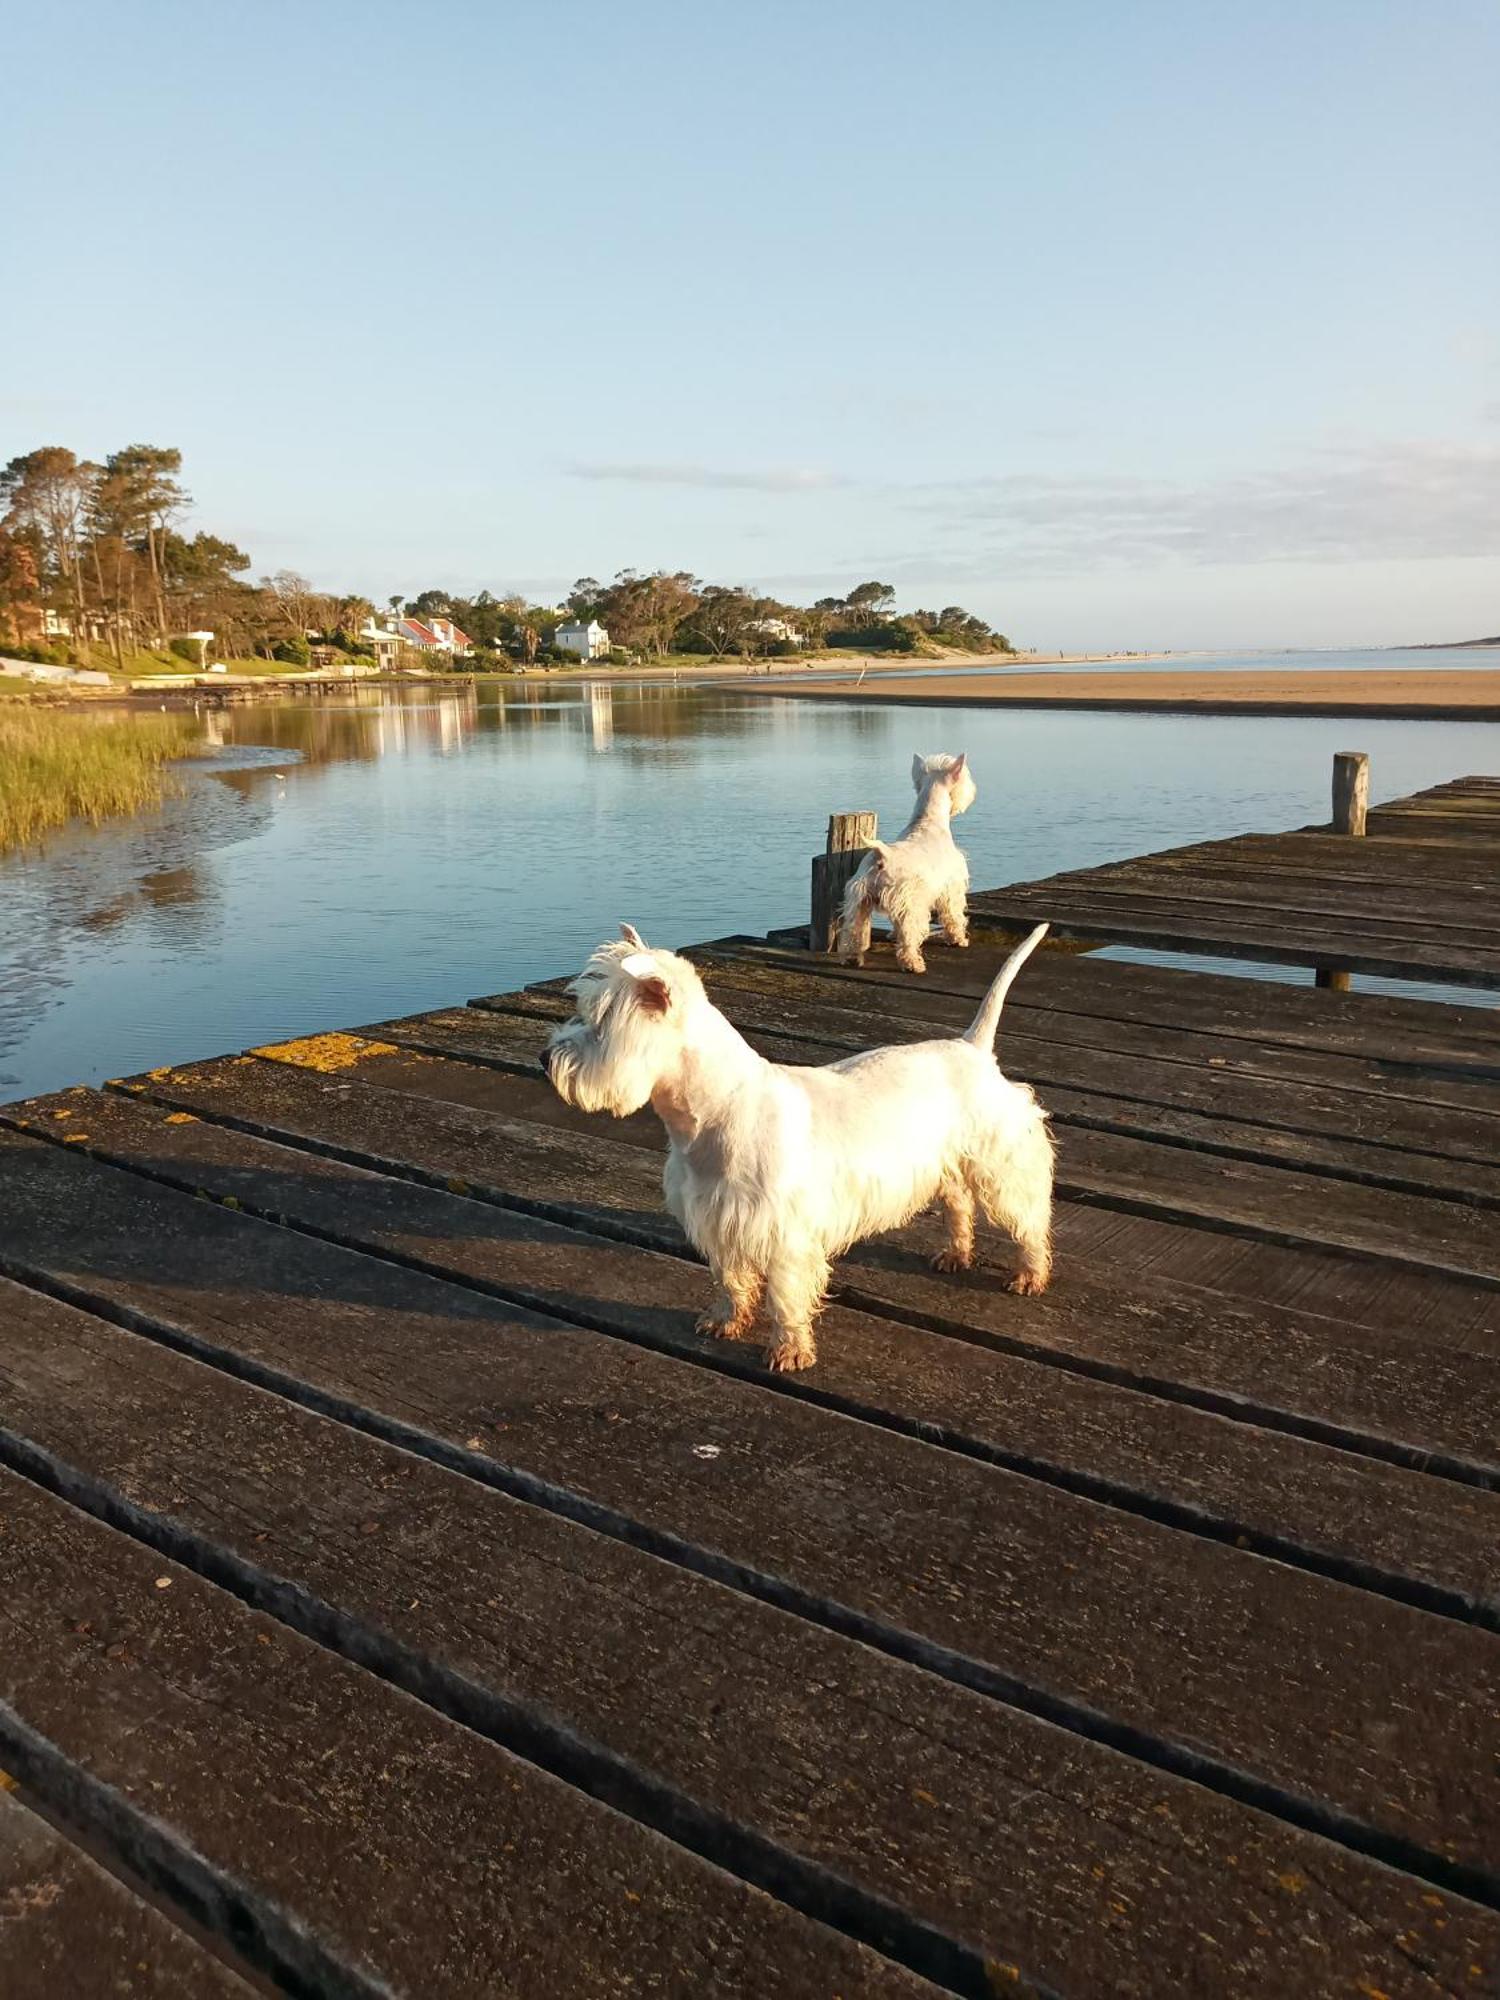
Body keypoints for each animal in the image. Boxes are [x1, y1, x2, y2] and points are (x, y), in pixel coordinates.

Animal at [544, 920, 1056, 1376]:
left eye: (600, 1024)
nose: (546, 1058)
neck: (712, 1111)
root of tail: (972, 1048)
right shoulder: (720, 1220)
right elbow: (731, 1278)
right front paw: (725, 1319)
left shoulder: (784, 1233)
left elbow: (786, 1295)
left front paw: (789, 1350)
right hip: (945, 1160)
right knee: (958, 1201)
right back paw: (954, 1253)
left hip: (1001, 1163)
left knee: (1027, 1219)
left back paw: (1029, 1275)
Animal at [840, 752, 980, 968]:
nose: (972, 792)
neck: (928, 821)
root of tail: (882, 855)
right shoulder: (950, 889)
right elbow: (953, 915)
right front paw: (958, 939)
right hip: (910, 905)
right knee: (909, 934)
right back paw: (913, 964)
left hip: (859, 902)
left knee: (854, 932)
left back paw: (852, 958)